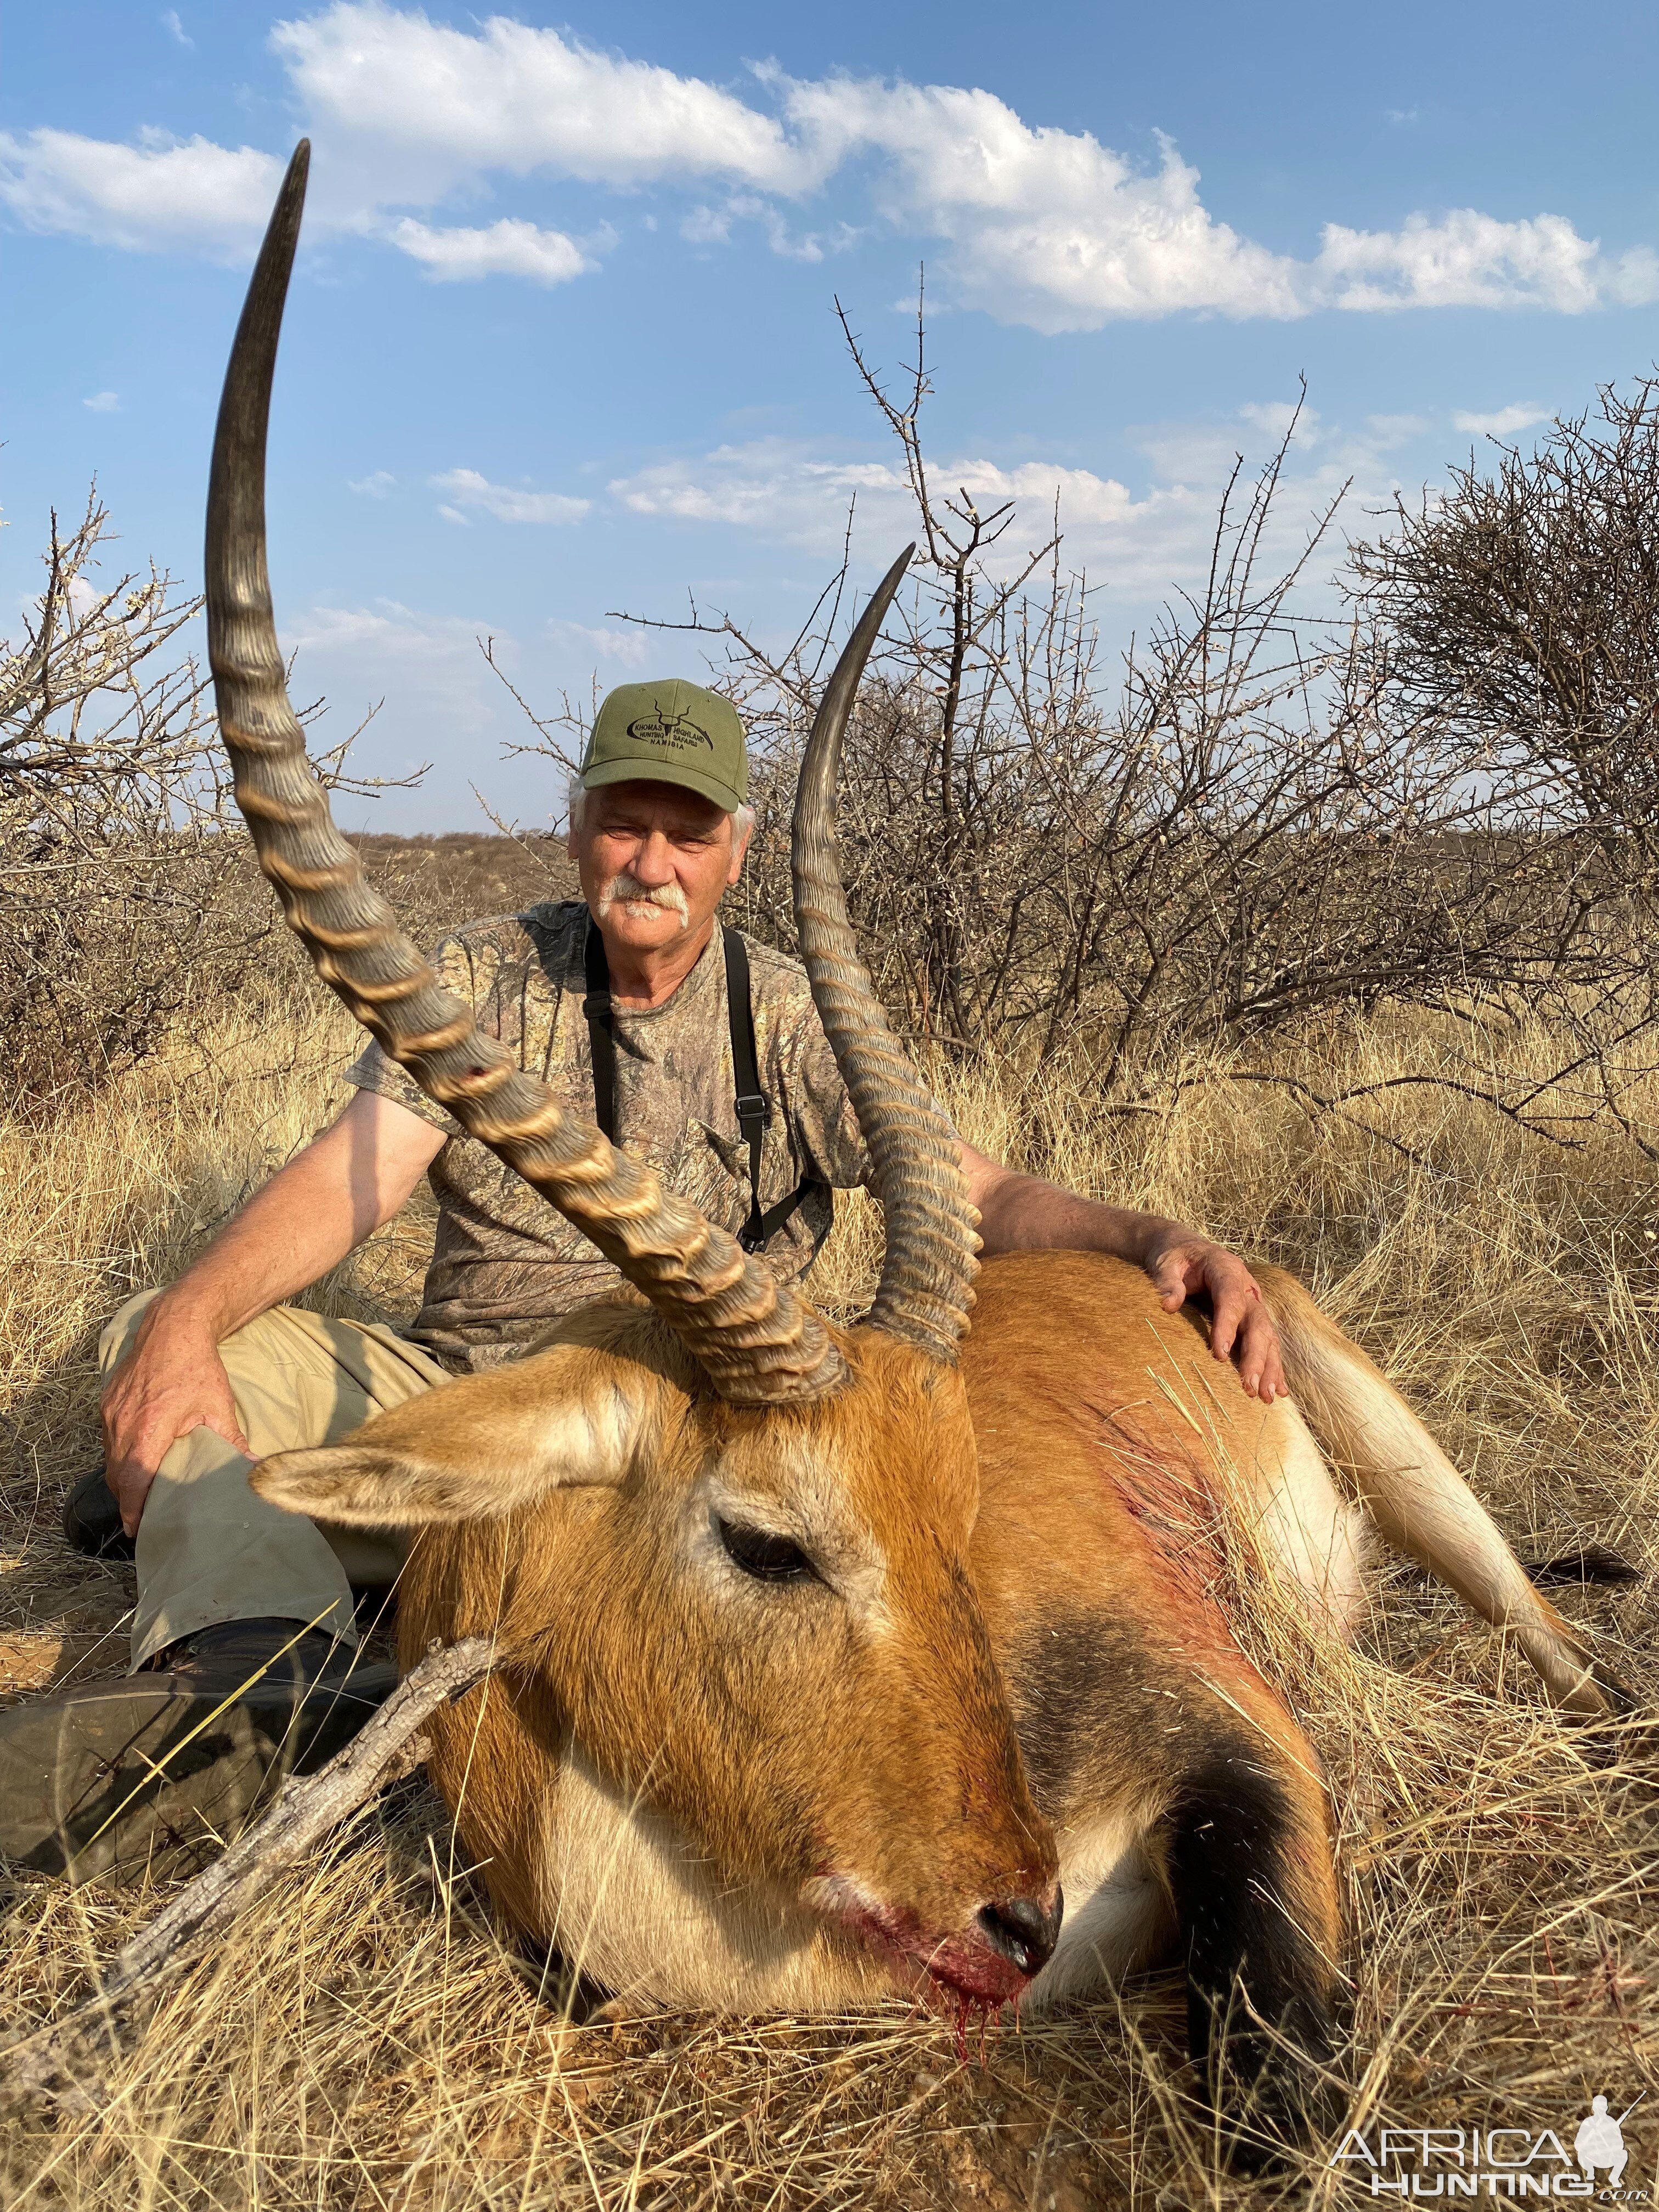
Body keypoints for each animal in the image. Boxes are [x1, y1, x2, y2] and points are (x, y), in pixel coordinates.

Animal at [215, 147, 1628, 2150]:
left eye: (964, 1501)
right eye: (770, 1538)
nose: (1011, 1916)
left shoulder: (1245, 1756)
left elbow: (1280, 2093)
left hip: (1432, 1495)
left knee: (1560, 1650)